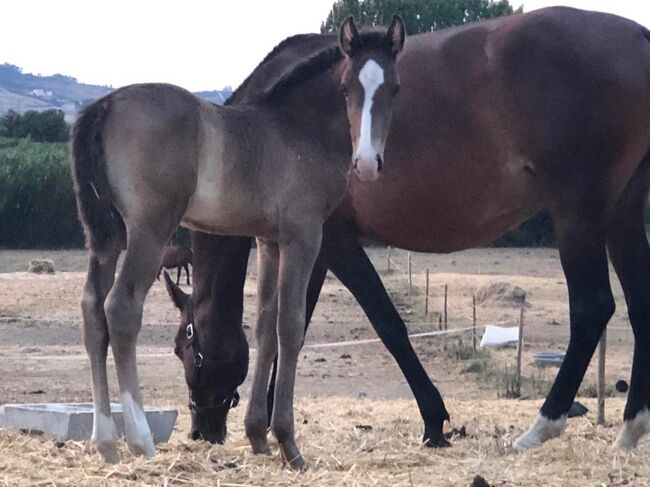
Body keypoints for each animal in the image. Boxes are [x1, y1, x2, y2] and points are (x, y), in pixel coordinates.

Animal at [72, 17, 404, 470]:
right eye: (345, 87)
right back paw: (139, 440)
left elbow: (265, 325)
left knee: (92, 310)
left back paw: (105, 442)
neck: (299, 130)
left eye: (394, 88)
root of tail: (105, 106)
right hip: (148, 232)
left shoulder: (268, 241)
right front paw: (289, 445)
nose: (368, 163)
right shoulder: (303, 236)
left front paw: (258, 437)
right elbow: (290, 326)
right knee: (120, 309)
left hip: (106, 238)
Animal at [165, 6, 648, 454]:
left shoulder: (332, 240)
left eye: (183, 348)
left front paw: (433, 421)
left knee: (591, 307)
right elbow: (292, 326)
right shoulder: (307, 242)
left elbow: (385, 324)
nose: (201, 430)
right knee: (637, 305)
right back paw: (629, 429)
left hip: (577, 212)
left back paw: (541, 427)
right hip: (621, 213)